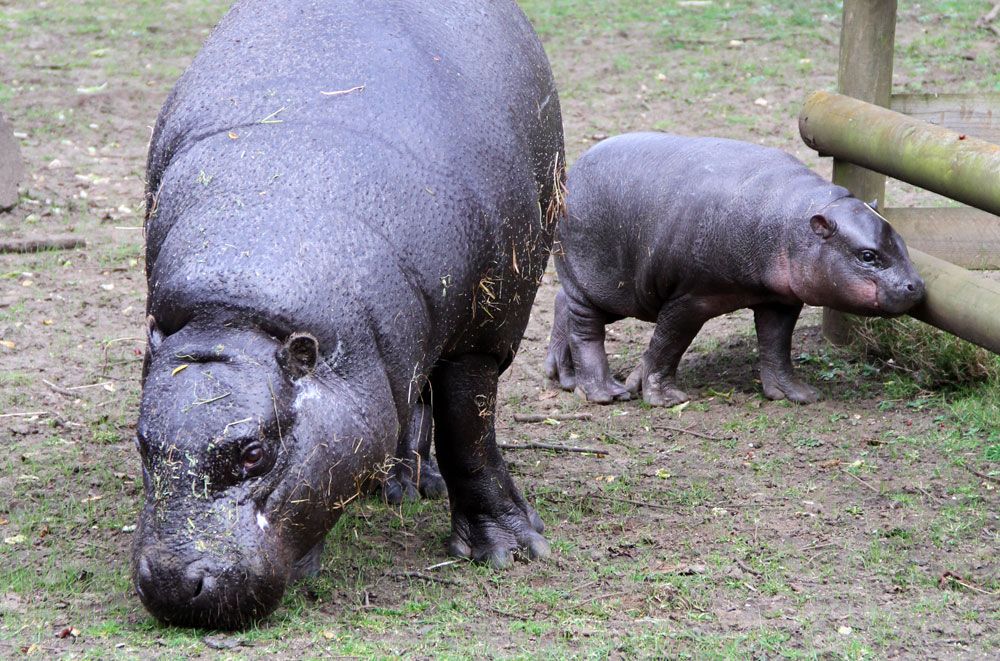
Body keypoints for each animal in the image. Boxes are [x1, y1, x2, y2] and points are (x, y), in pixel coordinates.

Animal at [133, 0, 564, 628]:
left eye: (255, 452)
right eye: (142, 443)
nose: (171, 582)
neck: (236, 314)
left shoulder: (482, 335)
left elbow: (470, 432)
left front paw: (509, 550)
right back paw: (399, 485)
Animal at [544, 131, 924, 404]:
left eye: (901, 239)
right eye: (867, 255)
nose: (917, 286)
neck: (793, 221)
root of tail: (570, 174)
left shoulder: (780, 299)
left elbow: (776, 344)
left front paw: (796, 394)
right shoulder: (690, 299)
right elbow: (667, 344)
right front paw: (665, 398)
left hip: (620, 293)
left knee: (563, 304)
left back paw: (564, 378)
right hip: (595, 280)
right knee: (585, 329)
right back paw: (607, 393)